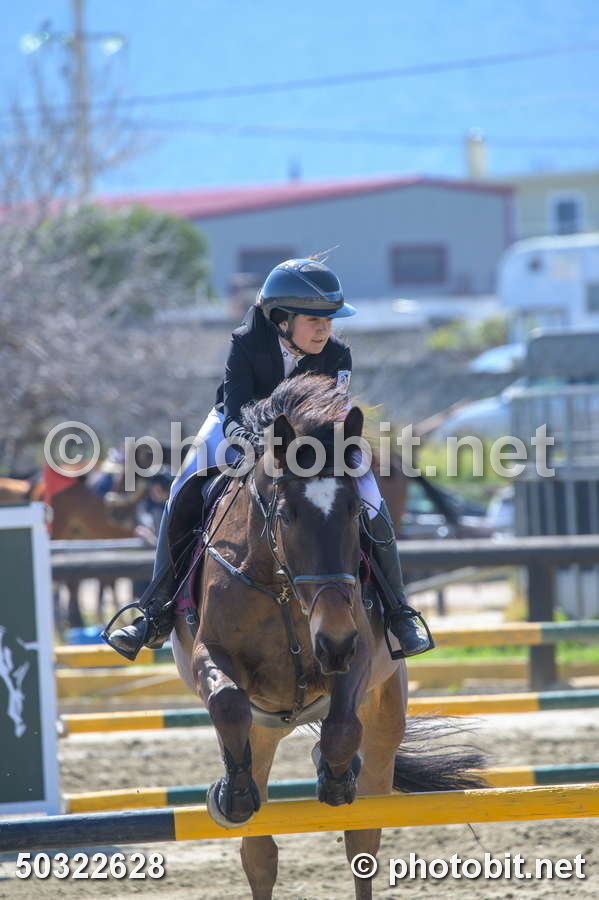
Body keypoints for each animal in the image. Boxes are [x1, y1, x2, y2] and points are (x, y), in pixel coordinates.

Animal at [171, 374, 484, 900]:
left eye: (356, 511)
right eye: (286, 514)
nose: (333, 640)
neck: (281, 585)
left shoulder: (358, 654)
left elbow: (340, 728)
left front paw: (335, 777)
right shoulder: (208, 653)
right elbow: (228, 701)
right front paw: (229, 795)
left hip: (385, 717)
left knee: (362, 840)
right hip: (264, 731)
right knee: (259, 852)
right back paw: (241, 792)